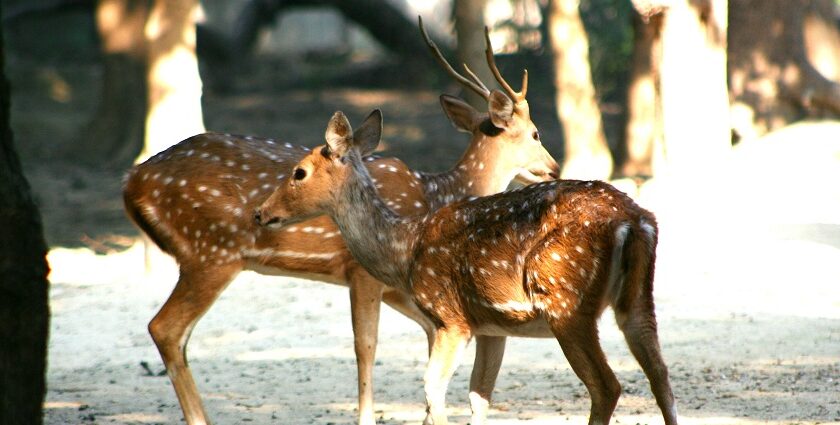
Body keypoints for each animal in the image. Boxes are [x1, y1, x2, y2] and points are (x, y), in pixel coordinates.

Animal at [121, 18, 560, 422]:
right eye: (536, 134)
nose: (555, 168)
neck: (437, 193)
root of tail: (131, 182)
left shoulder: (403, 288)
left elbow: (429, 337)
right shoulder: (362, 273)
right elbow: (366, 345)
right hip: (211, 251)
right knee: (165, 328)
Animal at [258, 107, 684, 422]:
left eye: (299, 172)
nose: (261, 213)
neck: (404, 250)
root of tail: (634, 220)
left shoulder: (452, 317)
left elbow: (433, 389)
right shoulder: (492, 326)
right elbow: (479, 395)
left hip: (566, 301)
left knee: (607, 386)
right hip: (637, 299)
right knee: (661, 377)